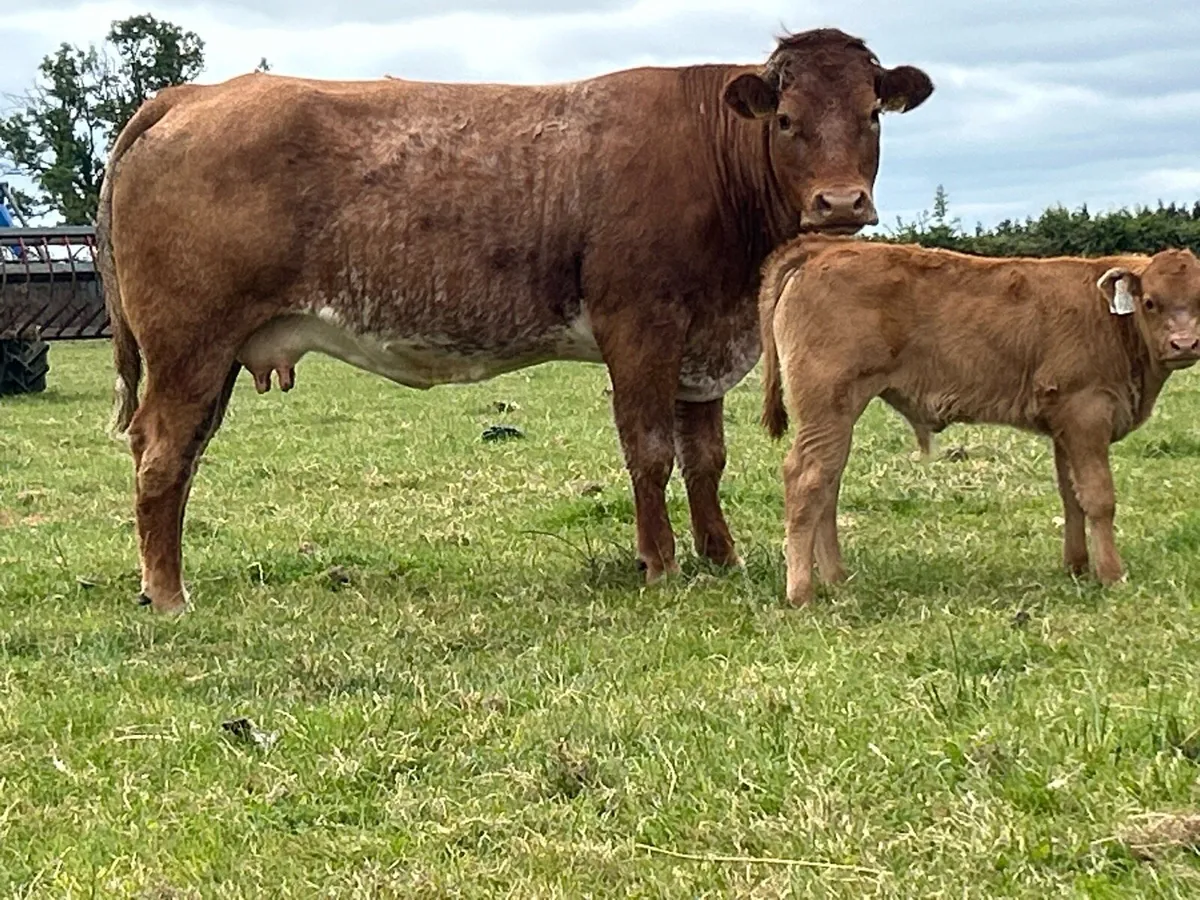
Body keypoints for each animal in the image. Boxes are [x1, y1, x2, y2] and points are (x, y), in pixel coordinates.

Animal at [96, 28, 934, 614]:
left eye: (871, 115)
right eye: (787, 120)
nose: (840, 202)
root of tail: (195, 95)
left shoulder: (705, 346)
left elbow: (706, 459)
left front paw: (720, 554)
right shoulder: (640, 328)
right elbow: (649, 452)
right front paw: (660, 563)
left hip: (213, 354)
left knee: (180, 455)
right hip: (190, 345)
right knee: (163, 453)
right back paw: (168, 594)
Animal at [757, 237, 1200, 606]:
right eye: (1150, 302)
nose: (1184, 344)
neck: (1111, 321)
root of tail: (823, 249)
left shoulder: (1063, 425)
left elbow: (1070, 495)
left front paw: (1076, 567)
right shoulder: (1086, 412)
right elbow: (1098, 497)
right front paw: (1112, 574)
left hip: (838, 414)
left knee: (827, 484)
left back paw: (836, 579)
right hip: (826, 407)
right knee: (806, 479)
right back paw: (801, 592)